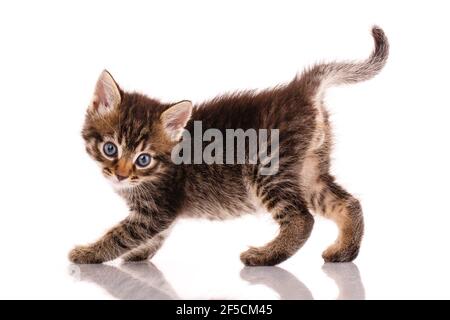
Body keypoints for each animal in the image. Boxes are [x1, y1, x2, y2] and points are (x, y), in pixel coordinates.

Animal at [68, 26, 388, 264]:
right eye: (110, 148)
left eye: (143, 159)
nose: (120, 175)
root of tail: (298, 90)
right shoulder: (164, 212)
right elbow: (156, 235)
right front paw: (139, 255)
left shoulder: (156, 209)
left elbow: (121, 234)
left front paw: (87, 253)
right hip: (308, 171)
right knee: (348, 203)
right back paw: (345, 250)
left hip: (266, 168)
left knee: (302, 218)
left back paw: (265, 256)